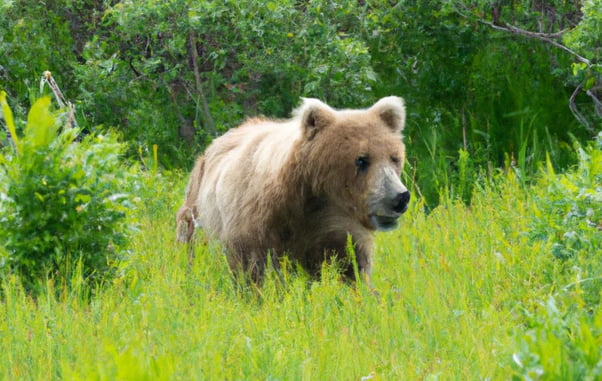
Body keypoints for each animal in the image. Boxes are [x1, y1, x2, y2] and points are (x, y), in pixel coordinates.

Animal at [173, 96, 408, 280]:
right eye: (361, 159)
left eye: (394, 158)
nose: (400, 197)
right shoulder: (254, 224)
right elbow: (251, 270)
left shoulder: (337, 231)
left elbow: (351, 268)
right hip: (197, 212)